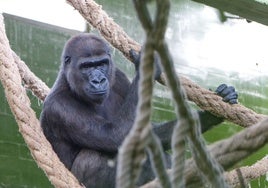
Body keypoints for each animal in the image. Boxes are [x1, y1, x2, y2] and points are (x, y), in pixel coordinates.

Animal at [39, 33, 237, 187]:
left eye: (101, 64)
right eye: (86, 66)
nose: (98, 80)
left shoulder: (118, 77)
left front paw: (210, 115)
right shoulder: (59, 107)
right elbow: (116, 134)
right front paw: (147, 64)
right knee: (93, 157)